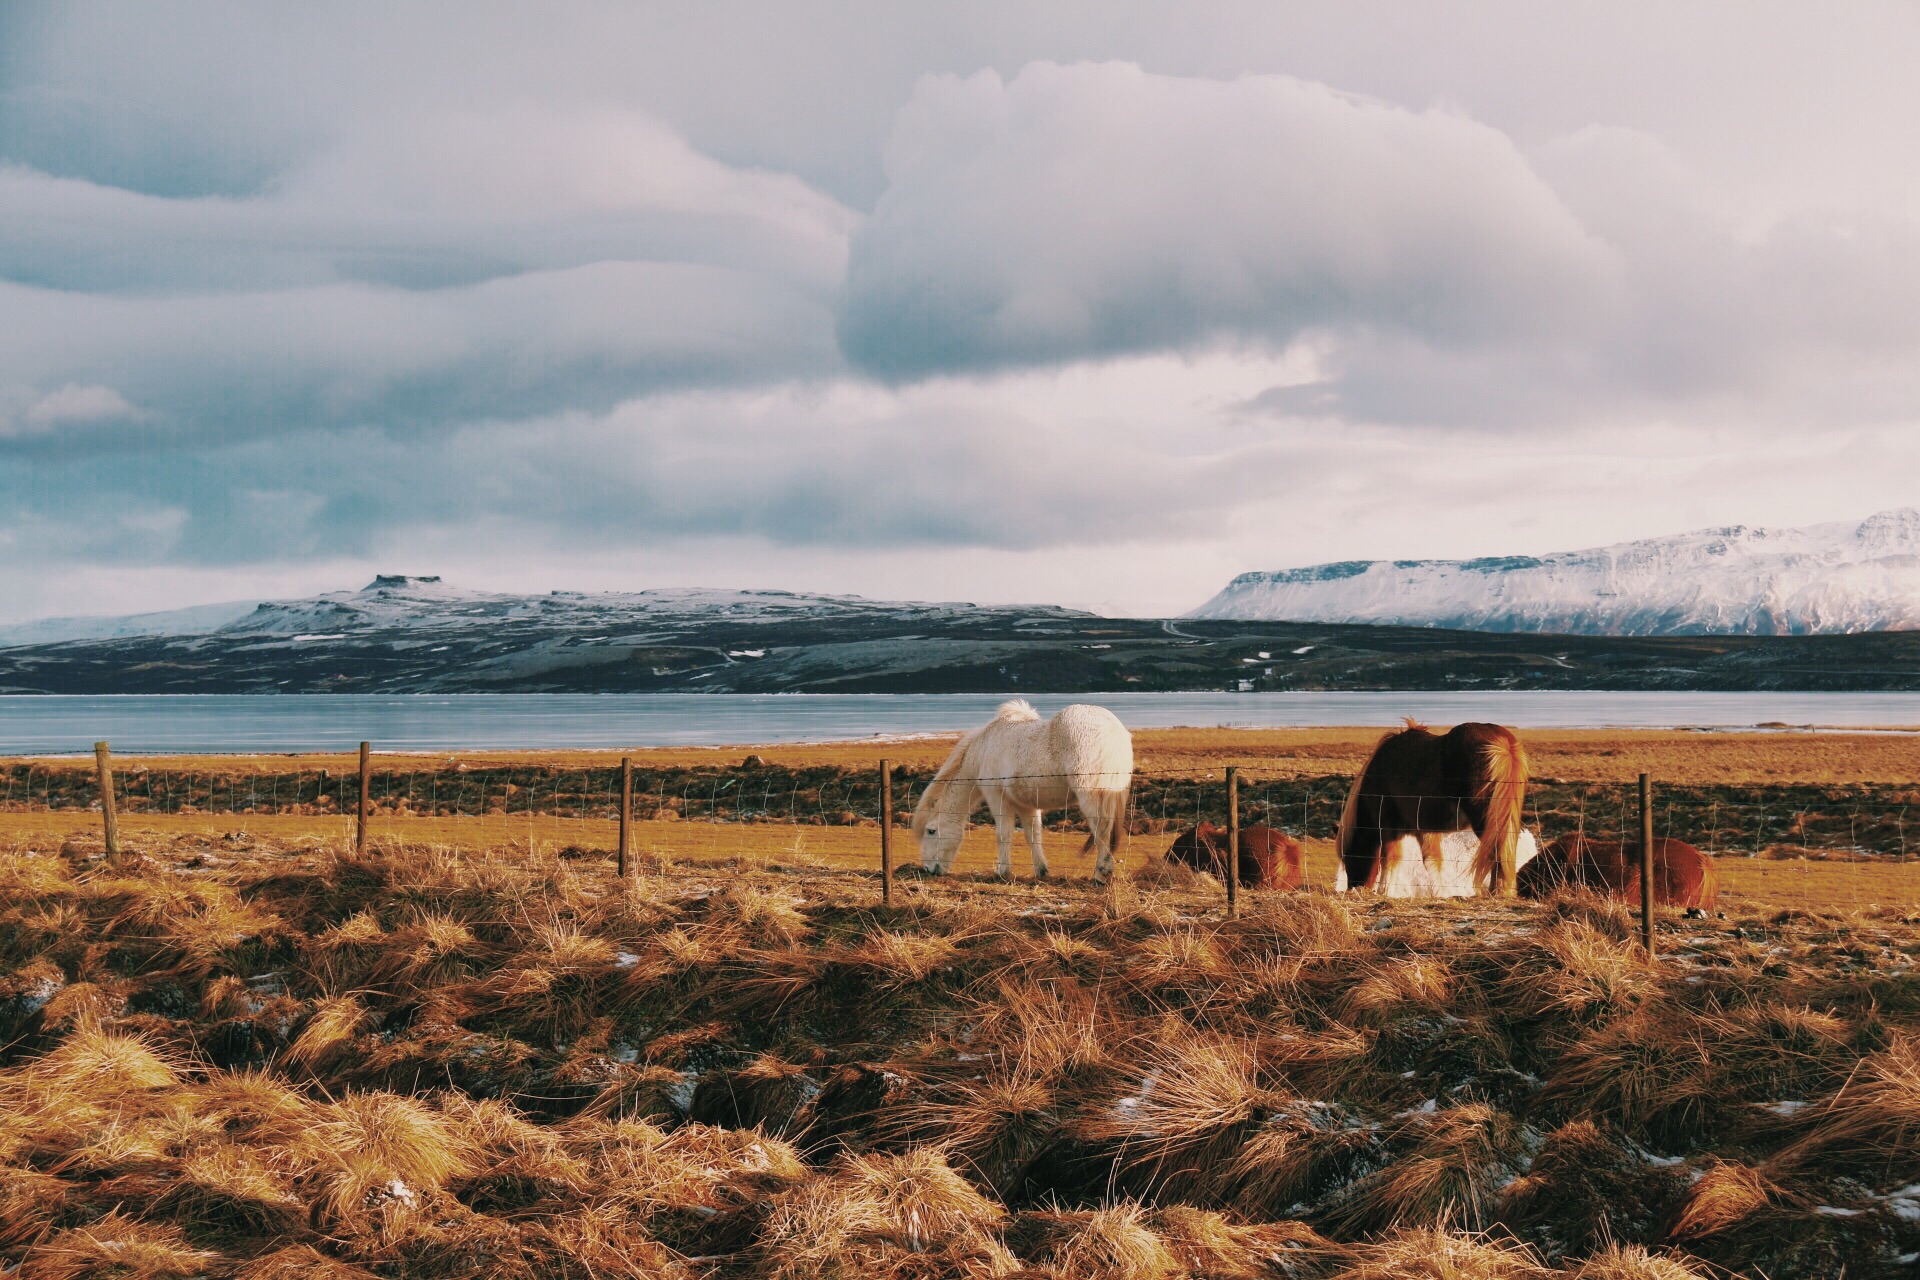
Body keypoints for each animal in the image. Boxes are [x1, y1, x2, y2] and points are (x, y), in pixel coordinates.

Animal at [910, 702, 1128, 882]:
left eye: (931, 830)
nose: (928, 869)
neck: (983, 749)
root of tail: (1113, 730)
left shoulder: (997, 797)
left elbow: (1003, 834)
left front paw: (1002, 872)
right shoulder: (1027, 804)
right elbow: (1033, 835)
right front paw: (1041, 870)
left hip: (1090, 795)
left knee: (1101, 829)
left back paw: (1101, 873)